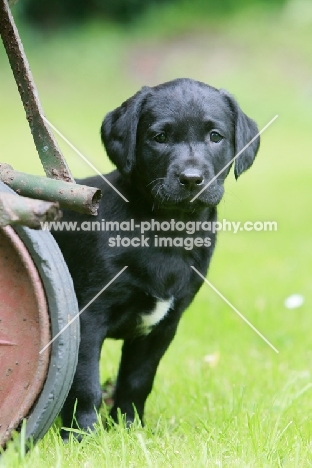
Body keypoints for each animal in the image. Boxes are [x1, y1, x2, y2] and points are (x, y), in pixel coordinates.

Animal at [52, 77, 260, 438]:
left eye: (215, 136)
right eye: (159, 138)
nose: (191, 179)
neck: (167, 230)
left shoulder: (163, 327)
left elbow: (137, 381)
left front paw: (129, 430)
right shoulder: (87, 318)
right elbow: (84, 384)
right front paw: (83, 437)